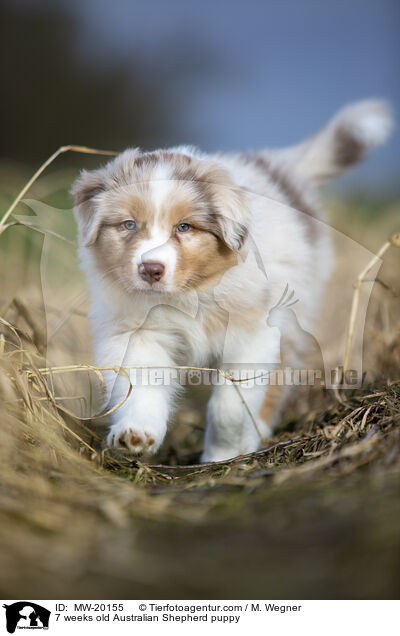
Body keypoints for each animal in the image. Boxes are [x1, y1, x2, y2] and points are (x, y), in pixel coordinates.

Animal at [71, 103, 390, 462]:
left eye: (184, 227)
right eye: (129, 224)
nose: (150, 269)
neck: (191, 293)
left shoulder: (252, 333)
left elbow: (231, 406)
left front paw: (222, 454)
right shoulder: (137, 332)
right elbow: (140, 384)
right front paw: (135, 434)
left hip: (293, 314)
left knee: (277, 380)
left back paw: (256, 433)